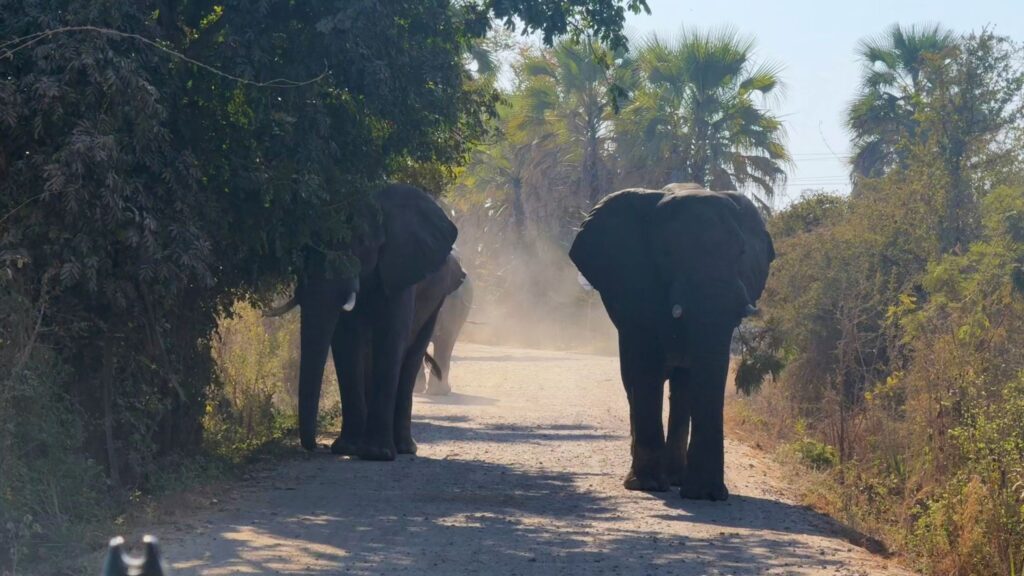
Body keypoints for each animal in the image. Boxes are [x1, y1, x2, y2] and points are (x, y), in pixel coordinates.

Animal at [267, 183, 463, 460]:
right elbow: (345, 340)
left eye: (360, 242)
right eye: (305, 247)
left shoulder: (401, 267)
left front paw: (376, 454)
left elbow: (391, 336)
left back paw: (404, 448)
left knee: (412, 354)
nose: (316, 446)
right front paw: (347, 448)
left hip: (439, 297)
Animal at [568, 182, 774, 500]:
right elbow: (644, 366)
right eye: (668, 254)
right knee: (636, 381)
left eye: (740, 252)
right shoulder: (636, 285)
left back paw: (676, 477)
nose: (711, 494)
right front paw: (648, 485)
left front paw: (702, 494)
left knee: (682, 387)